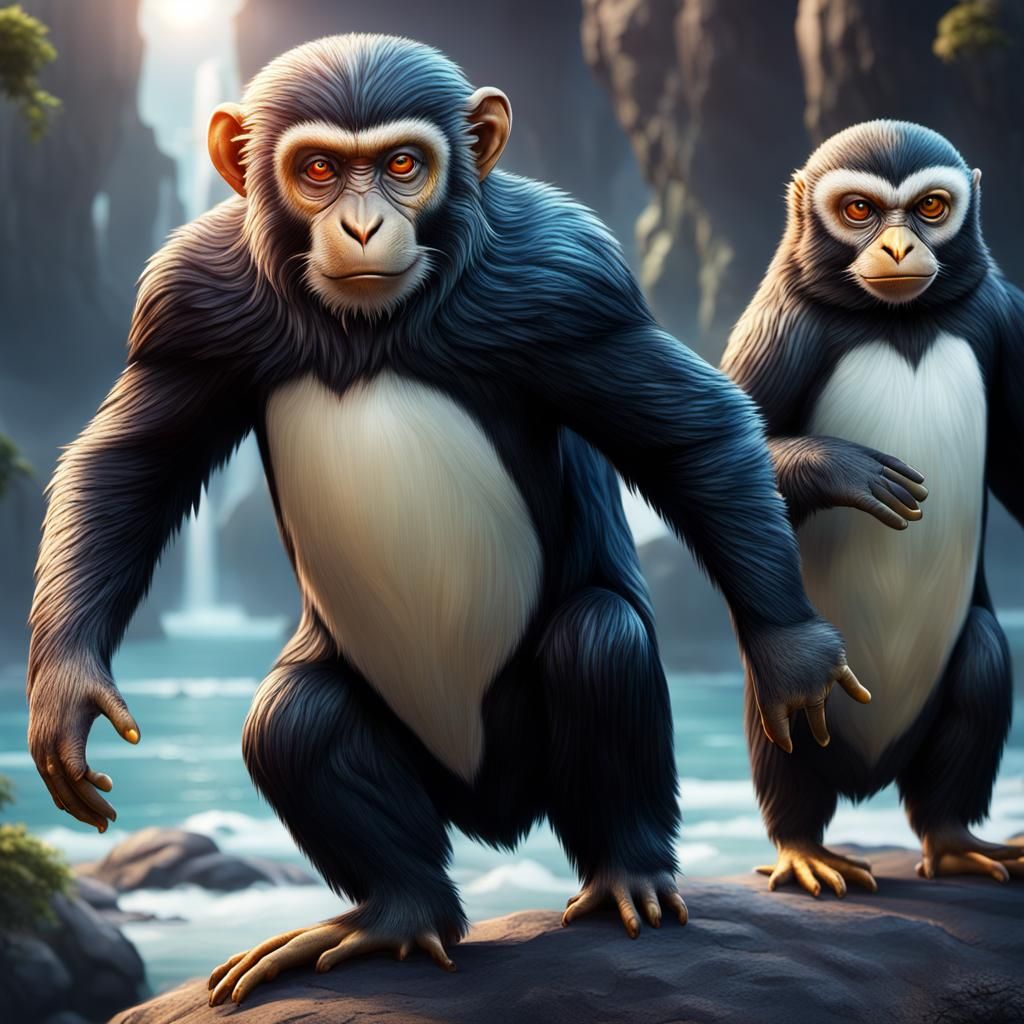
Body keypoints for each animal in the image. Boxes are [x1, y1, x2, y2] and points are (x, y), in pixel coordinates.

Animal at [26, 35, 868, 1003]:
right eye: (318, 170)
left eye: (402, 165)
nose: (361, 226)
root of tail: (491, 813)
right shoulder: (189, 305)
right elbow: (130, 468)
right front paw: (65, 693)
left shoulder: (572, 283)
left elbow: (689, 432)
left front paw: (790, 655)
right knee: (297, 724)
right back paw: (391, 913)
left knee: (598, 640)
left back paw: (626, 872)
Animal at [721, 119, 1024, 898]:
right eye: (859, 210)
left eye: (931, 207)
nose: (896, 248)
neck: (901, 324)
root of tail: (872, 775)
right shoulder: (779, 325)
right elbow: (720, 455)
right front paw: (844, 469)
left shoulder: (1005, 320)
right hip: (805, 700)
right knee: (785, 725)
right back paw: (805, 850)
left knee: (981, 672)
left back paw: (955, 841)